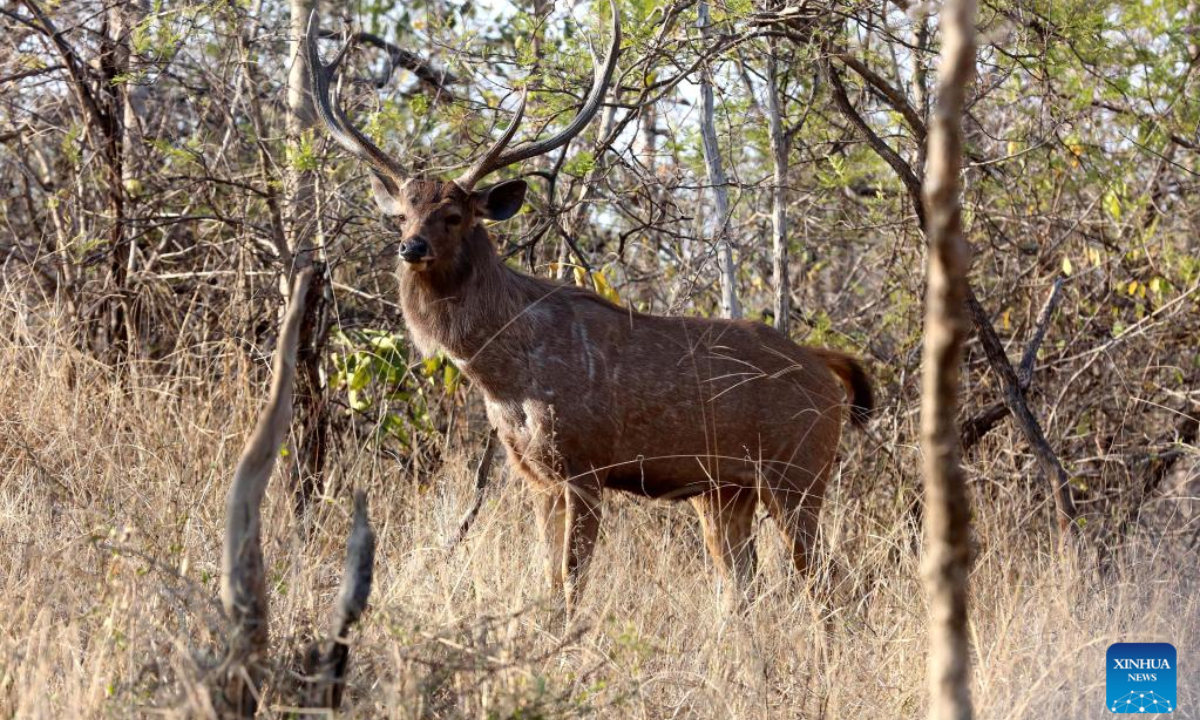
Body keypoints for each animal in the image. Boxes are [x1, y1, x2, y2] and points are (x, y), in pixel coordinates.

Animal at [304, 7, 878, 612]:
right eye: (402, 215)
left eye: (454, 215)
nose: (410, 248)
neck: (505, 376)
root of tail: (826, 367)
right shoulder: (536, 476)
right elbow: (549, 579)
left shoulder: (584, 463)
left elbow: (570, 583)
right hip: (726, 491)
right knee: (746, 583)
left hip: (798, 471)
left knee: (831, 581)